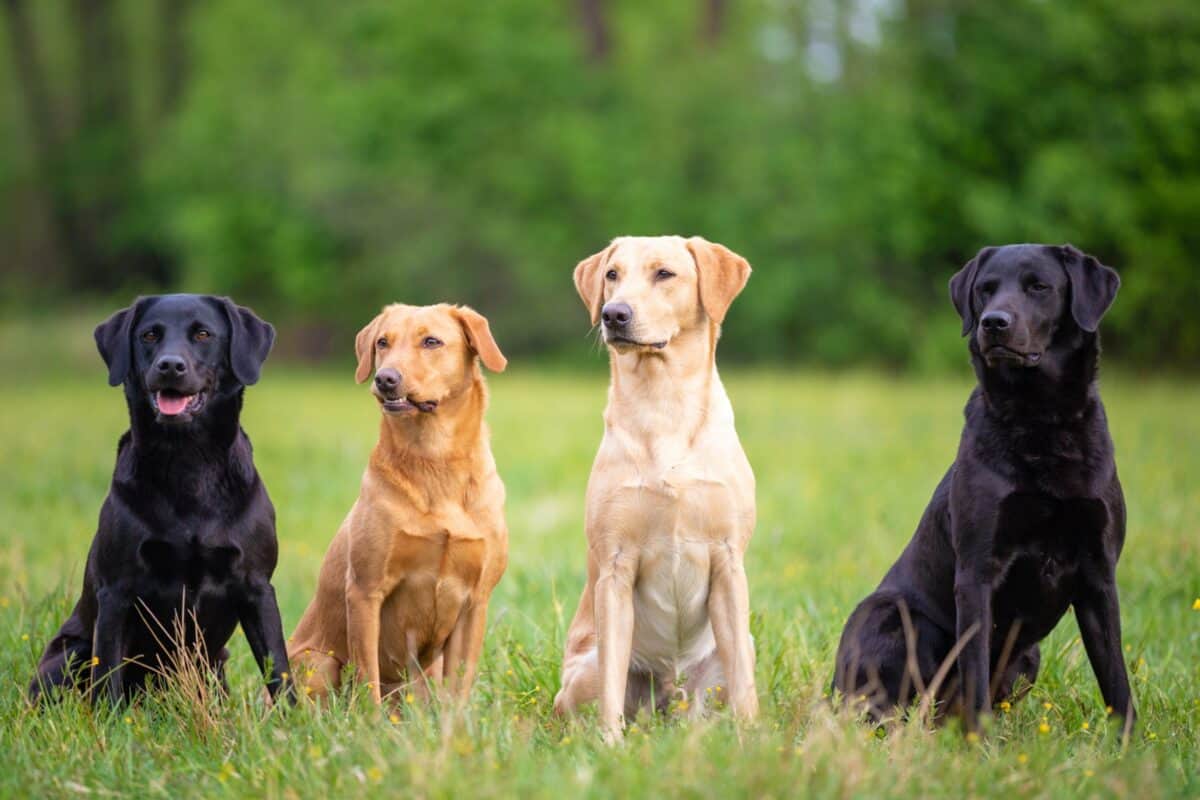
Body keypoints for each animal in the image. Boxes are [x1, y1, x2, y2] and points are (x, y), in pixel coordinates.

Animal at [29, 296, 292, 705]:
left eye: (203, 334)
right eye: (149, 335)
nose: (169, 365)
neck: (188, 462)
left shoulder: (257, 586)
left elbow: (278, 667)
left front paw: (293, 716)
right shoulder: (117, 591)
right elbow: (108, 672)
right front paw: (111, 720)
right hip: (69, 653)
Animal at [292, 303, 513, 705]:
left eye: (431, 341)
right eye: (383, 342)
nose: (385, 379)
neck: (435, 461)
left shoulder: (476, 601)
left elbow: (460, 684)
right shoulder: (365, 590)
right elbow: (368, 680)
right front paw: (371, 721)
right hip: (317, 662)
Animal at [549, 235, 753, 743]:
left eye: (664, 273)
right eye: (612, 275)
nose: (614, 314)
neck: (664, 406)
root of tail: (670, 698)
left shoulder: (727, 560)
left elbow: (743, 682)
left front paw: (751, 739)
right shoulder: (616, 569)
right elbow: (611, 685)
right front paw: (610, 745)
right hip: (582, 672)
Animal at [835, 244, 1132, 734]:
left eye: (1039, 286)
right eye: (985, 289)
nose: (993, 322)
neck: (1040, 421)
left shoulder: (1098, 571)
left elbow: (1116, 676)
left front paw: (1130, 743)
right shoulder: (977, 571)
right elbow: (974, 668)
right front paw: (980, 744)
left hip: (1029, 655)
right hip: (892, 616)